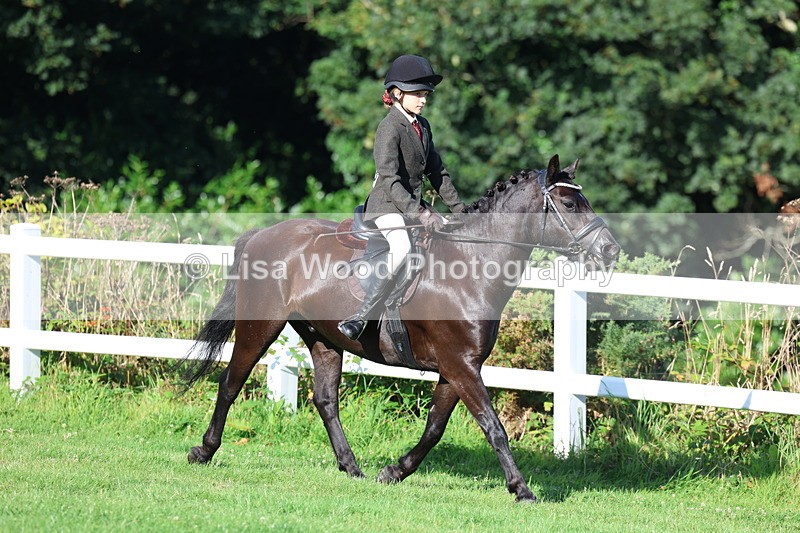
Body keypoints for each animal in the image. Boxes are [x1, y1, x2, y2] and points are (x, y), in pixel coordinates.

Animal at [181, 154, 620, 503]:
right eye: (569, 203)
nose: (610, 250)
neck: (471, 266)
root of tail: (263, 234)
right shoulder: (461, 367)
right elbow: (493, 428)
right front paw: (522, 489)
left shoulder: (457, 368)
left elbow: (435, 428)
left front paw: (394, 471)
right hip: (260, 326)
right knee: (230, 383)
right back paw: (203, 451)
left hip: (324, 338)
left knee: (325, 400)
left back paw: (351, 467)